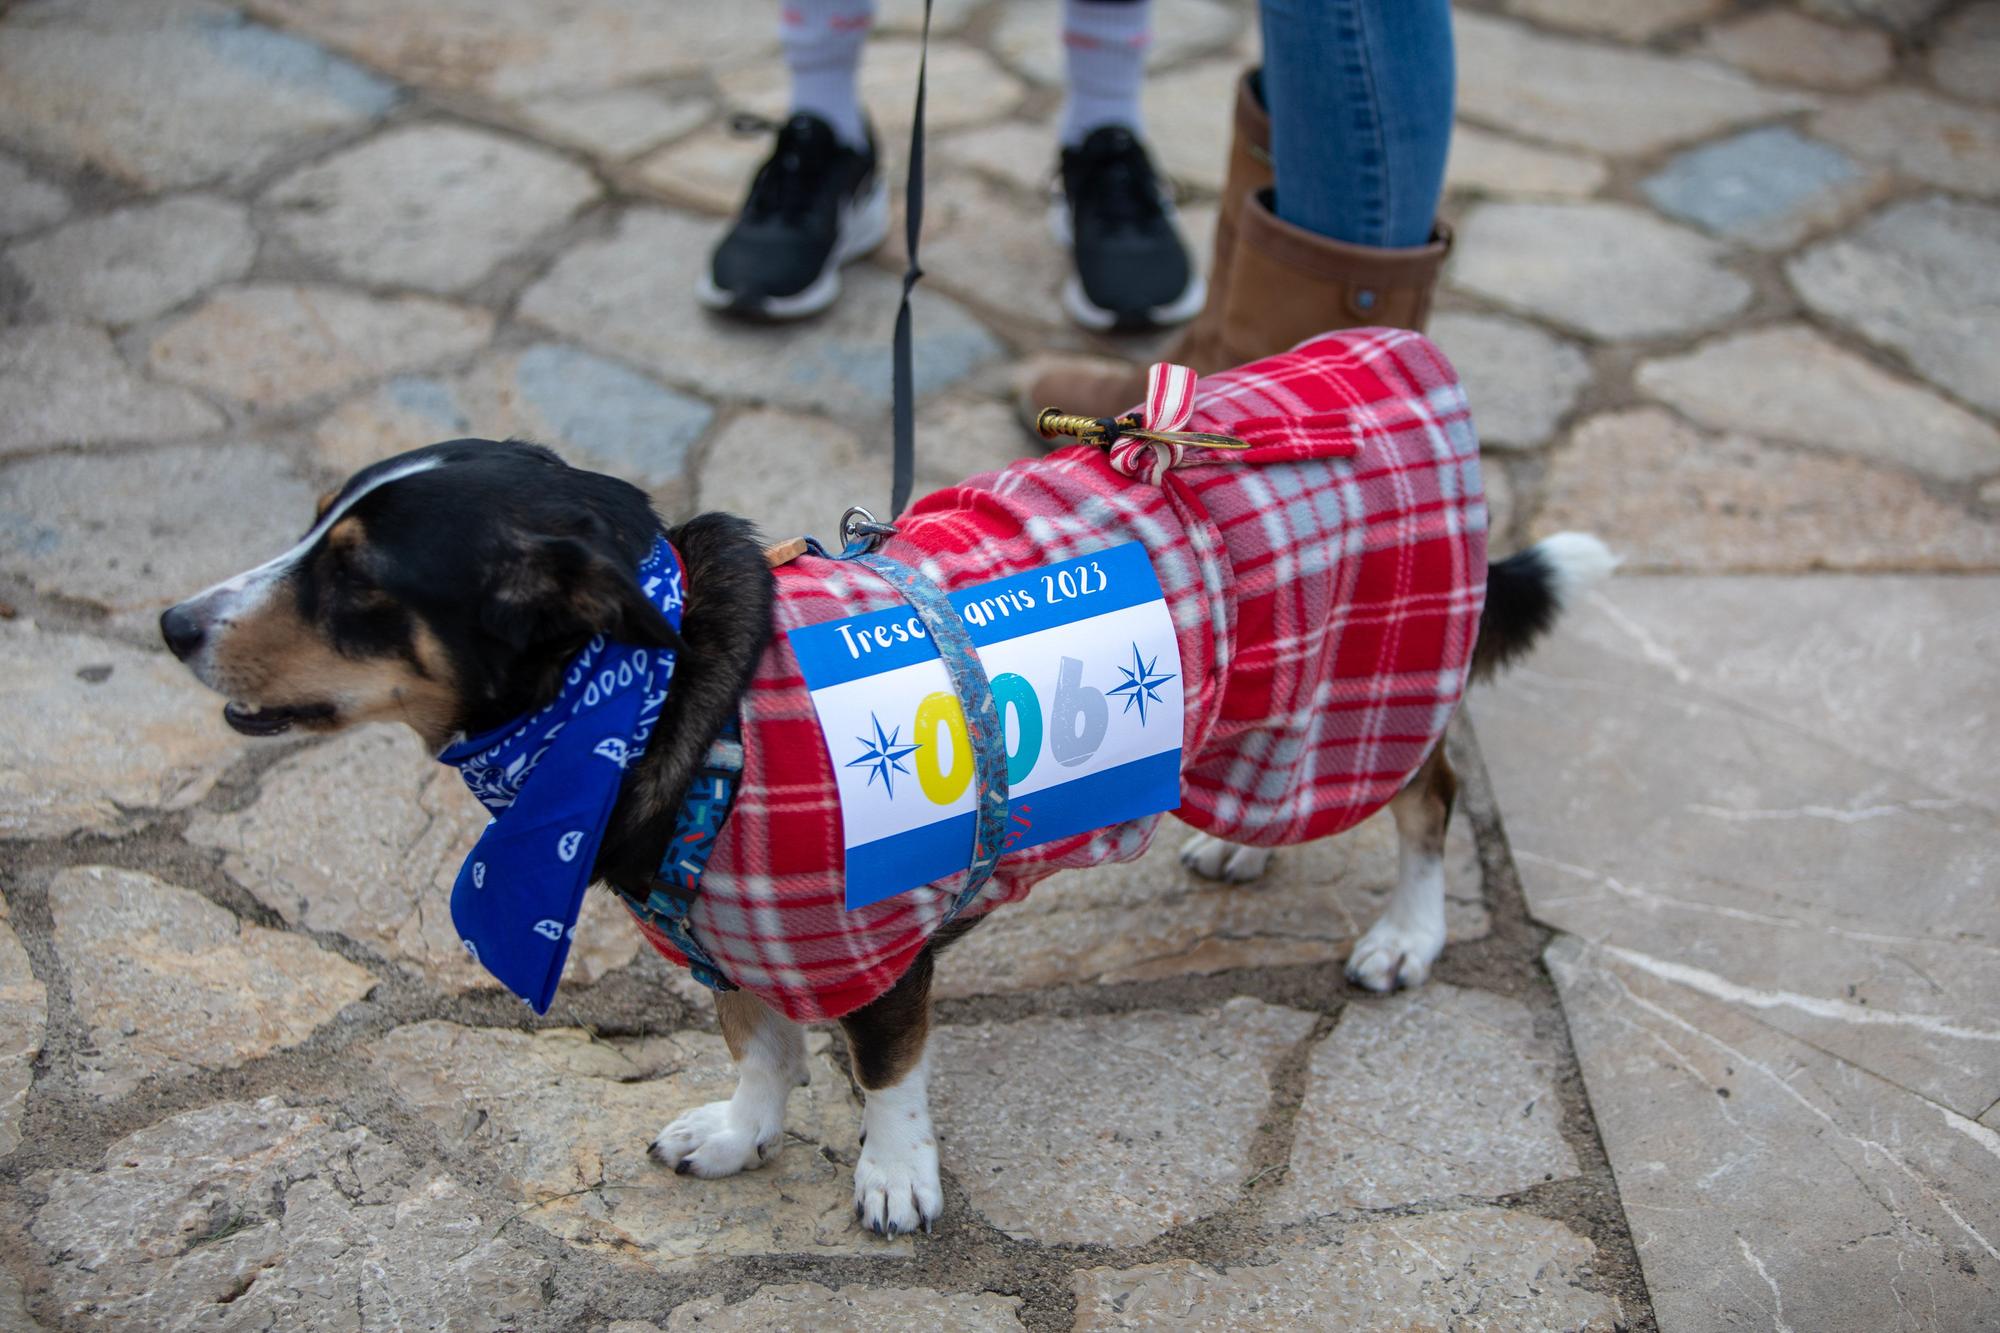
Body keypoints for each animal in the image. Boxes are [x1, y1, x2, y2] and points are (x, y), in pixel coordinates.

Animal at [164, 330, 1616, 1232]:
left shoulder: (877, 947)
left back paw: (1406, 933)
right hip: (1263, 726)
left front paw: (895, 1177)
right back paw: (1245, 848)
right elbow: (758, 1045)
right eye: (312, 529)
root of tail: (1396, 359)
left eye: (357, 578)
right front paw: (740, 1133)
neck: (650, 699)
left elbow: (883, 1071)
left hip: (1367, 689)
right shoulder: (730, 940)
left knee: (1428, 796)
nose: (174, 622)